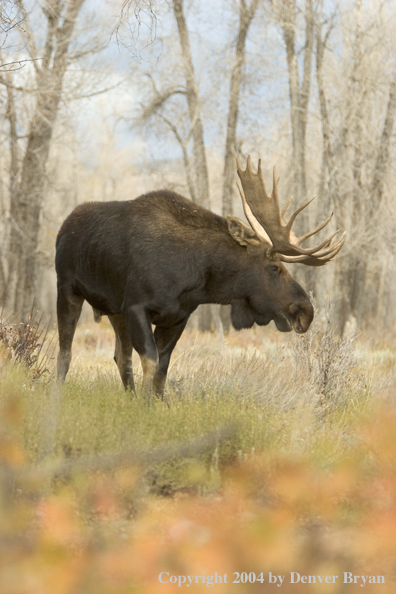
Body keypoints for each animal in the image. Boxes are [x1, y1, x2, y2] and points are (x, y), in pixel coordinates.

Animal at [55, 156, 344, 402]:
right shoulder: (136, 306)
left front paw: (153, 405)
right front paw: (144, 406)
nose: (306, 310)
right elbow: (150, 361)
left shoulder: (178, 316)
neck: (194, 277)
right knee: (65, 352)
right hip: (67, 289)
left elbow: (162, 369)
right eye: (274, 267)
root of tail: (63, 228)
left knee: (120, 357)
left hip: (114, 311)